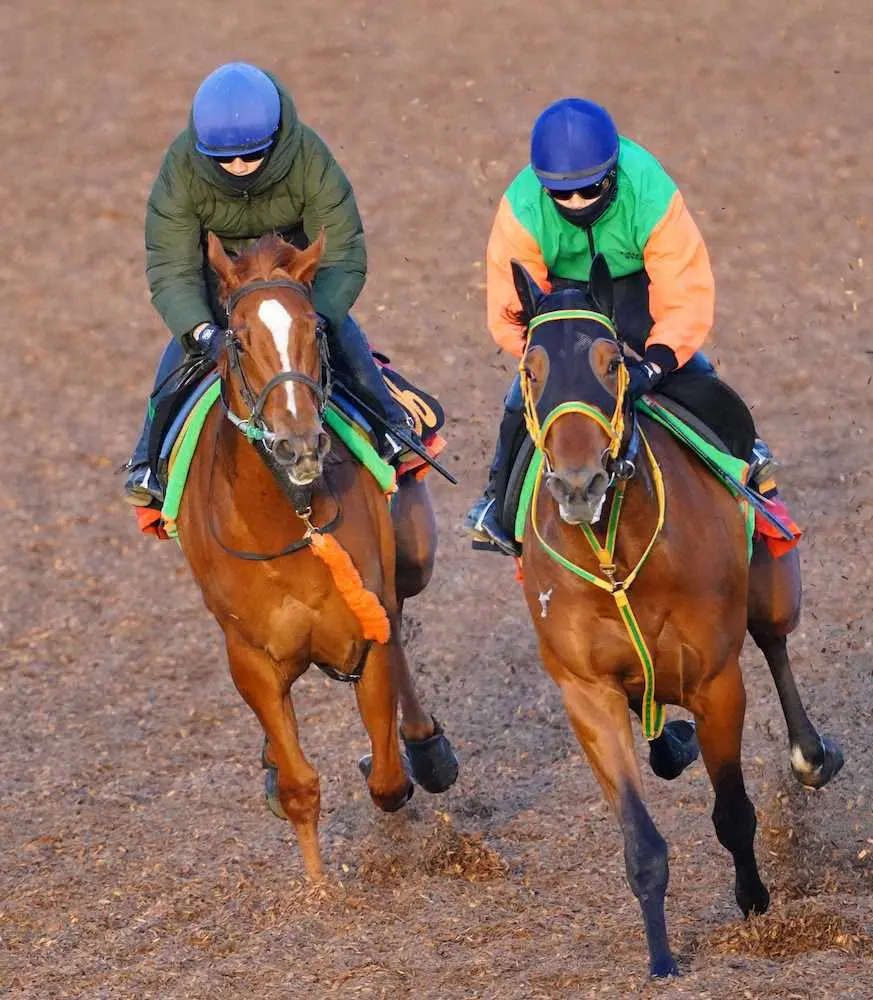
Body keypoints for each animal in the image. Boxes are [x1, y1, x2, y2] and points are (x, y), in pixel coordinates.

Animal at [179, 230, 464, 880]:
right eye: (238, 338)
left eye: (316, 330)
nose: (298, 443)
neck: (290, 523)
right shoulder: (251, 659)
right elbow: (299, 787)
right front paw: (319, 890)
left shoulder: (365, 628)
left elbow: (387, 780)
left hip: (411, 557)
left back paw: (426, 746)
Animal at [516, 252, 840, 976]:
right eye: (531, 369)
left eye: (612, 361)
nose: (578, 484)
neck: (618, 560)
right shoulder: (586, 693)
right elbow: (641, 843)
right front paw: (661, 956)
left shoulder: (717, 681)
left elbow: (733, 813)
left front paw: (754, 904)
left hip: (771, 584)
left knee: (773, 643)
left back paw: (810, 756)